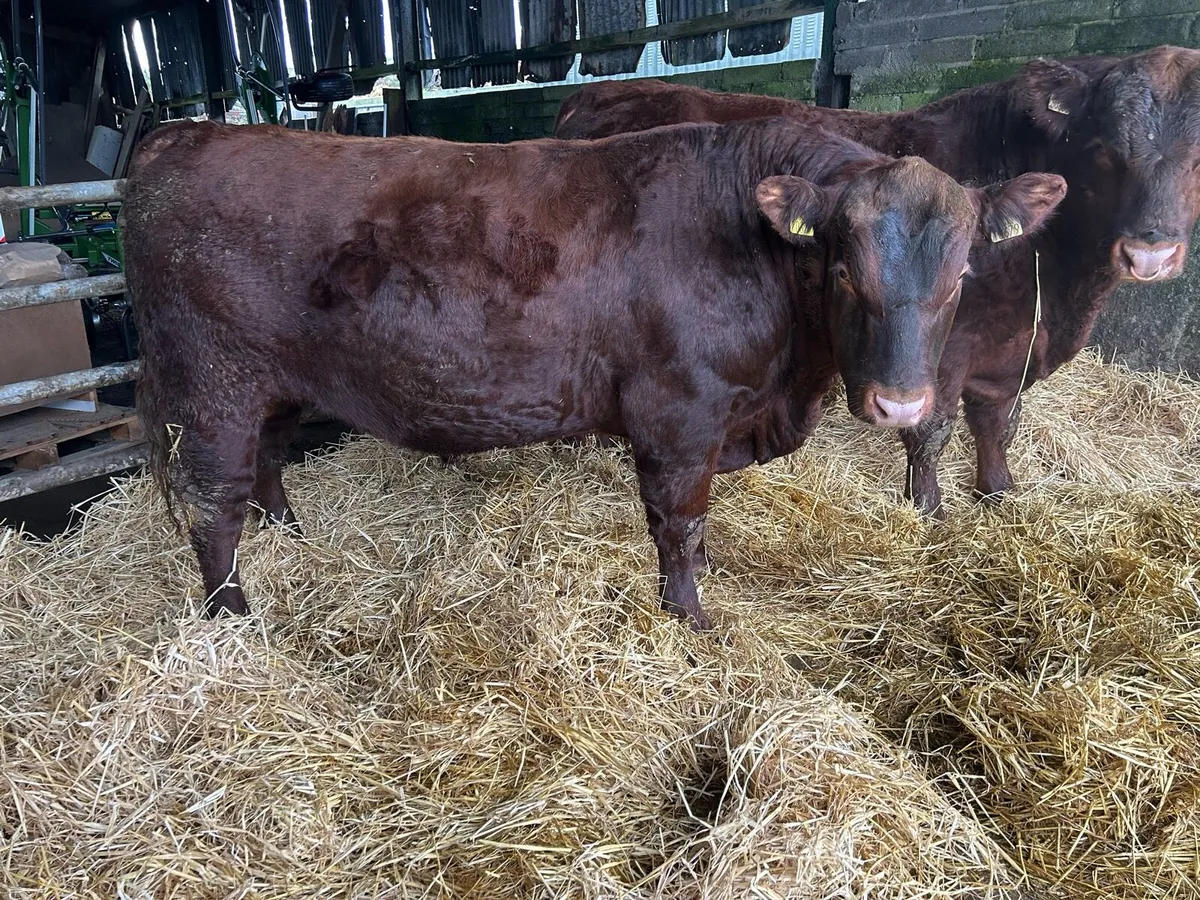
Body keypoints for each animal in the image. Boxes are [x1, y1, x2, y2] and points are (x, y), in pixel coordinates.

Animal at [123, 118, 1064, 630]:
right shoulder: (678, 416)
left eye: (961, 275)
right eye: (841, 269)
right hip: (212, 390)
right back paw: (232, 615)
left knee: (267, 466)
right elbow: (678, 524)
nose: (902, 402)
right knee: (214, 508)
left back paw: (292, 537)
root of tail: (183, 134)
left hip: (276, 382)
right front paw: (688, 618)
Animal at [555, 47, 1200, 516]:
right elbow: (931, 430)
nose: (1150, 252)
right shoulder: (945, 354)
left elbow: (999, 424)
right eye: (1105, 149)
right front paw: (929, 508)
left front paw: (998, 492)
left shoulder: (1010, 350)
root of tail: (598, 92)